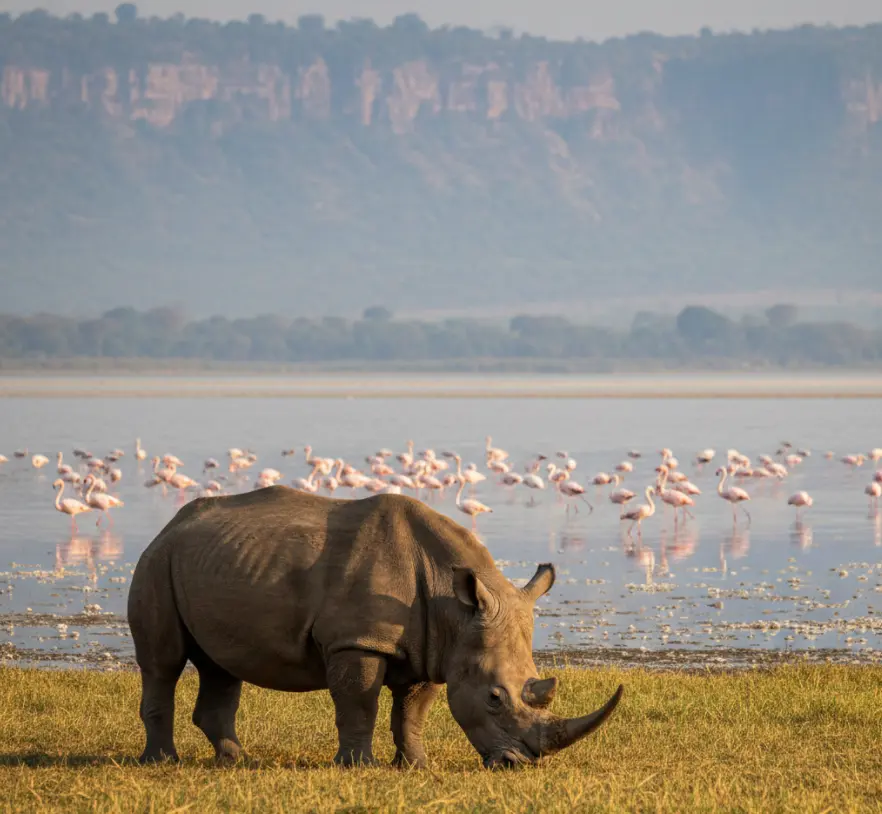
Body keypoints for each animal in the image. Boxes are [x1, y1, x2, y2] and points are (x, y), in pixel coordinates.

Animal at [128, 487, 622, 768]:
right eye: (494, 698)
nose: (519, 764)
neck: (455, 608)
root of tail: (173, 524)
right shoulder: (358, 642)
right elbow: (358, 703)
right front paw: (358, 766)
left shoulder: (436, 647)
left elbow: (412, 711)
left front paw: (416, 766)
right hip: (156, 561)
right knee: (162, 663)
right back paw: (161, 762)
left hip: (208, 561)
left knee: (222, 665)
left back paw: (234, 761)